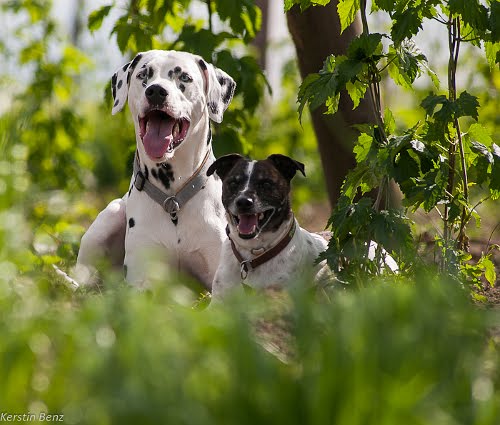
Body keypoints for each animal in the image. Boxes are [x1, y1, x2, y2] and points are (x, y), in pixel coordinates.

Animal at [76, 49, 236, 288]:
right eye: (144, 75)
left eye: (184, 77)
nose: (156, 91)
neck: (173, 201)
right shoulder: (140, 280)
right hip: (110, 216)